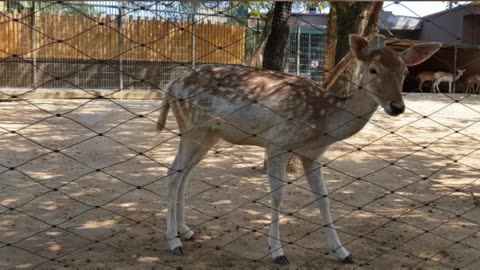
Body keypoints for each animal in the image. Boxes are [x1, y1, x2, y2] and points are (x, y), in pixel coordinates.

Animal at [156, 34, 440, 264]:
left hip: (208, 135)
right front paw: (278, 252)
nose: (397, 107)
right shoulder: (278, 144)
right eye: (373, 70)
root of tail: (171, 86)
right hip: (192, 127)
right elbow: (278, 196)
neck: (322, 123)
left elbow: (323, 197)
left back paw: (186, 231)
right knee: (173, 173)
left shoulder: (312, 155)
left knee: (185, 175)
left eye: (404, 71)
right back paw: (174, 242)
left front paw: (343, 252)